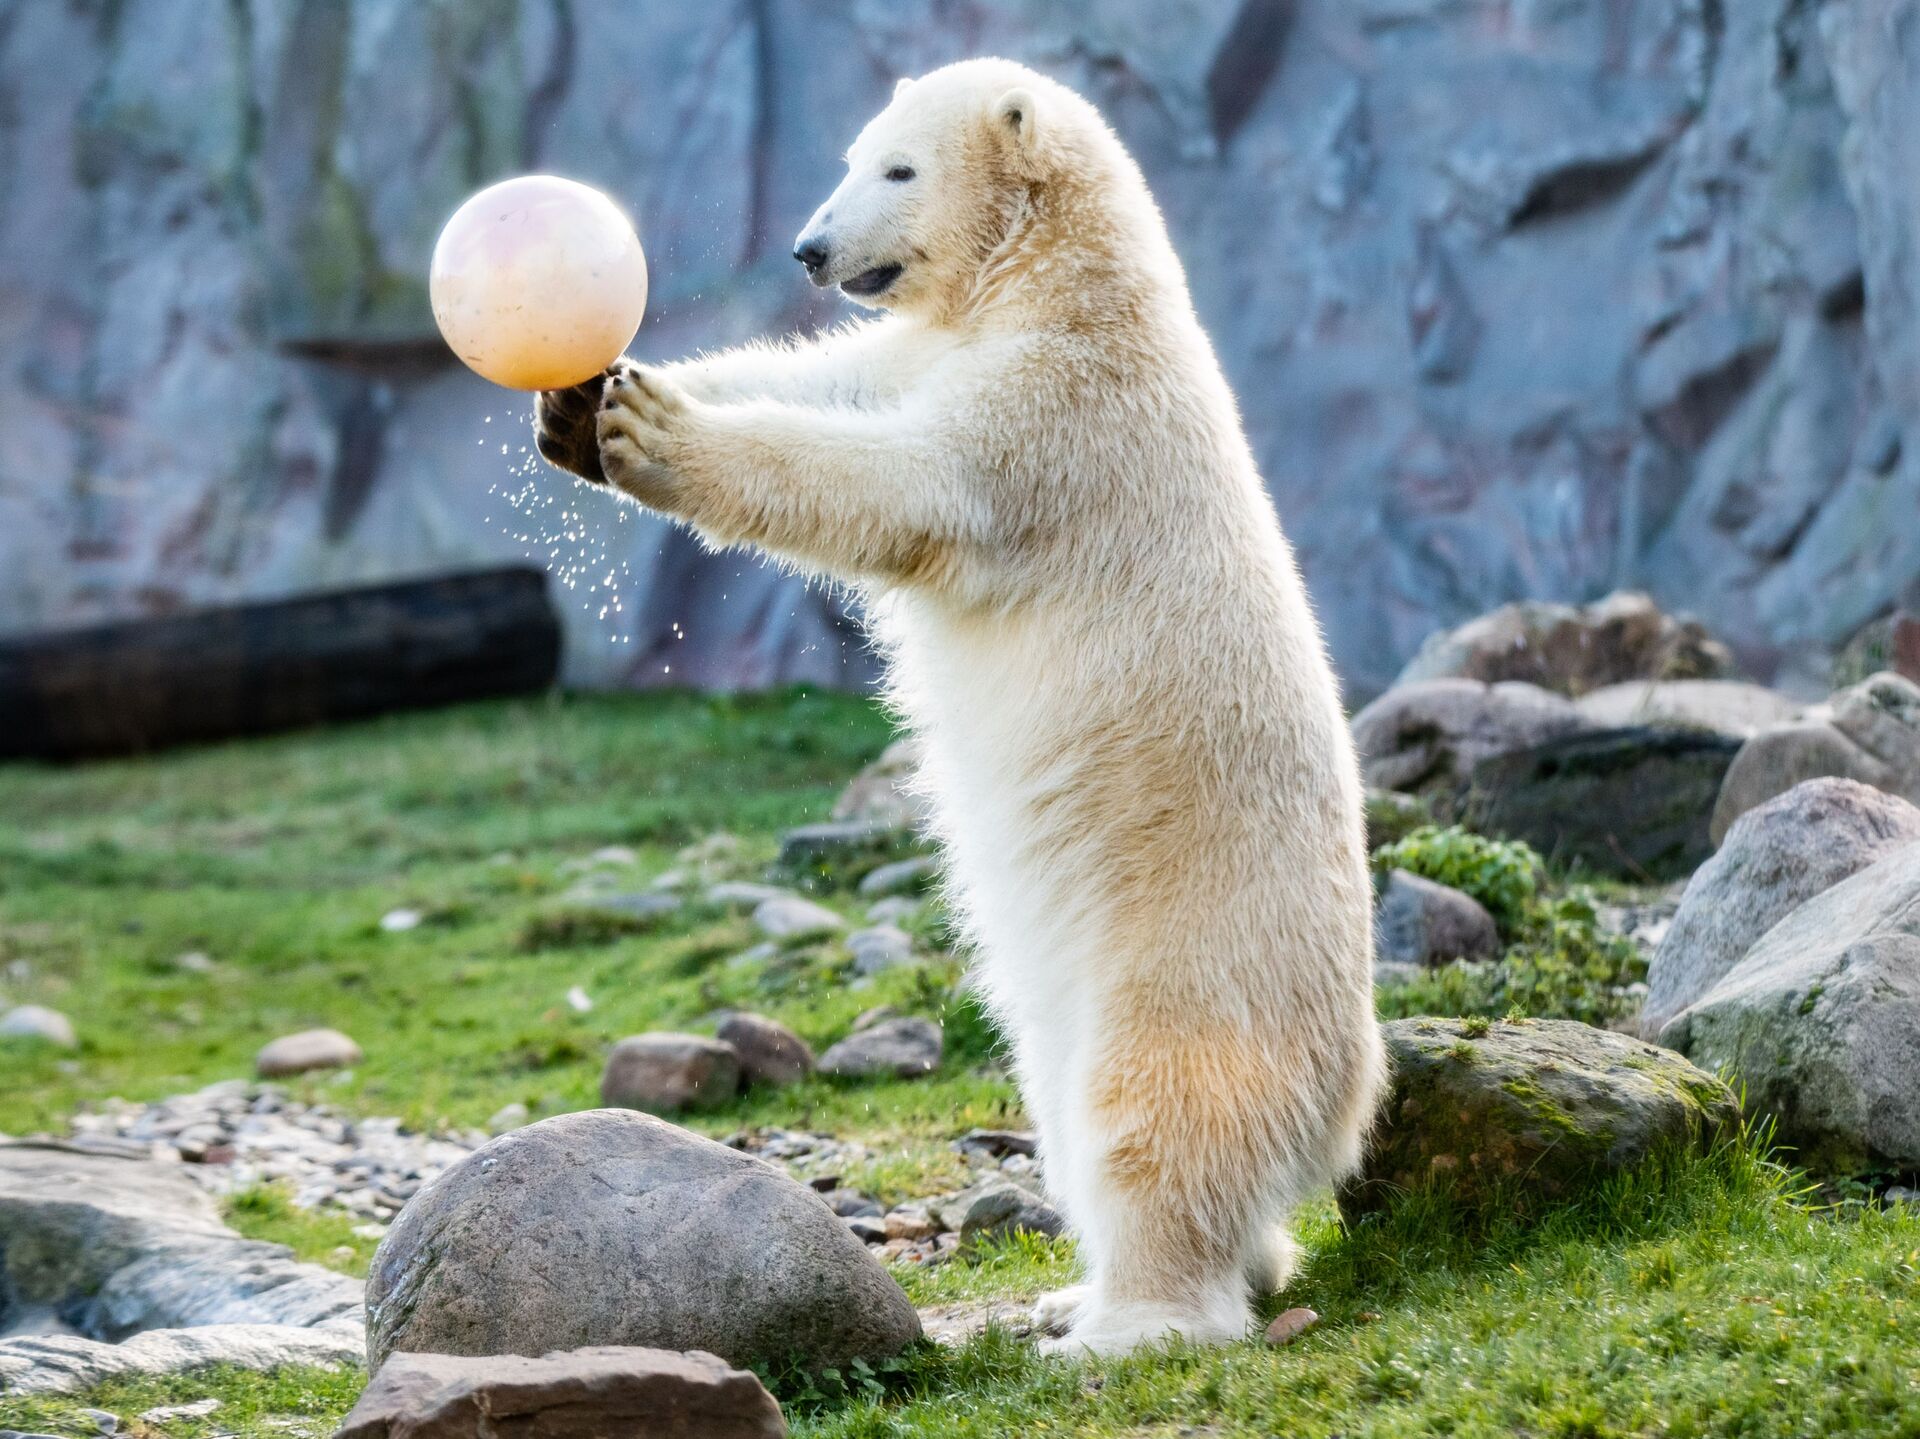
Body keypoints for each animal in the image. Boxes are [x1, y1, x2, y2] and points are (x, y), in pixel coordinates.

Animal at [533, 58, 1390, 1360]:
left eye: (898, 168)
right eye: (852, 153)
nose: (809, 246)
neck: (1066, 285)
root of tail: (1348, 1097)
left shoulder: (1057, 411)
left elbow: (904, 480)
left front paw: (654, 431)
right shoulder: (937, 350)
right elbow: (831, 375)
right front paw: (583, 406)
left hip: (1192, 958)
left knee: (1153, 1117)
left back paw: (1123, 1323)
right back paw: (1095, 1288)